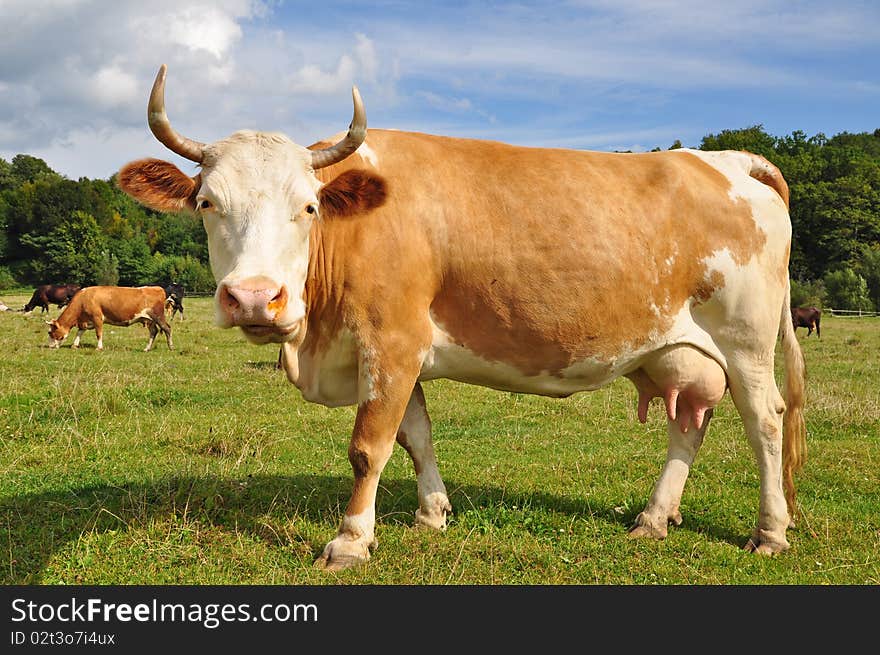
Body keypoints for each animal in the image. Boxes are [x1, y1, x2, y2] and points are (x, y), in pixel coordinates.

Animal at [45, 284, 173, 352]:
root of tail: (157, 288)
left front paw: (99, 347)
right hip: (148, 320)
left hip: (158, 316)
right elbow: (79, 332)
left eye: (50, 332)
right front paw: (74, 345)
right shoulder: (85, 321)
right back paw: (146, 348)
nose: (50, 346)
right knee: (154, 331)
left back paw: (171, 347)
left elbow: (99, 333)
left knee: (167, 328)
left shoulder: (97, 318)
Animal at [118, 64, 812, 572]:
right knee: (689, 424)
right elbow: (415, 436)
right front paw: (432, 515)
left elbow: (368, 447)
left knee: (766, 423)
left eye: (309, 206)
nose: (255, 298)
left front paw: (350, 541)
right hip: (680, 350)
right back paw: (652, 519)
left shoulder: (392, 341)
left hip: (746, 342)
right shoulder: (395, 353)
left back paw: (771, 531)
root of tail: (725, 158)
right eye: (207, 203)